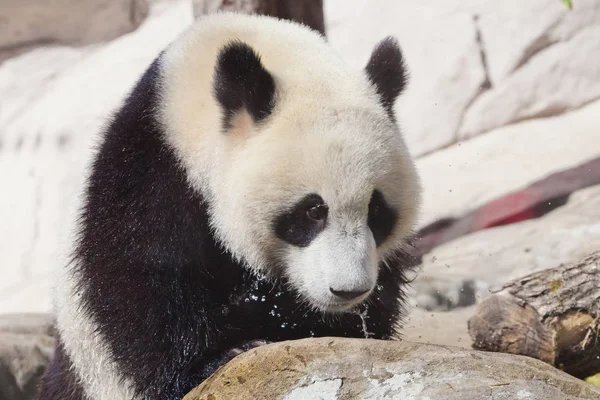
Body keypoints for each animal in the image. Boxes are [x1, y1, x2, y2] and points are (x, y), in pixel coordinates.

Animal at [37, 10, 422, 400]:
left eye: (377, 211)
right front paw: (220, 354)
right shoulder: (151, 174)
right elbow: (136, 284)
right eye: (313, 211)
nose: (348, 290)